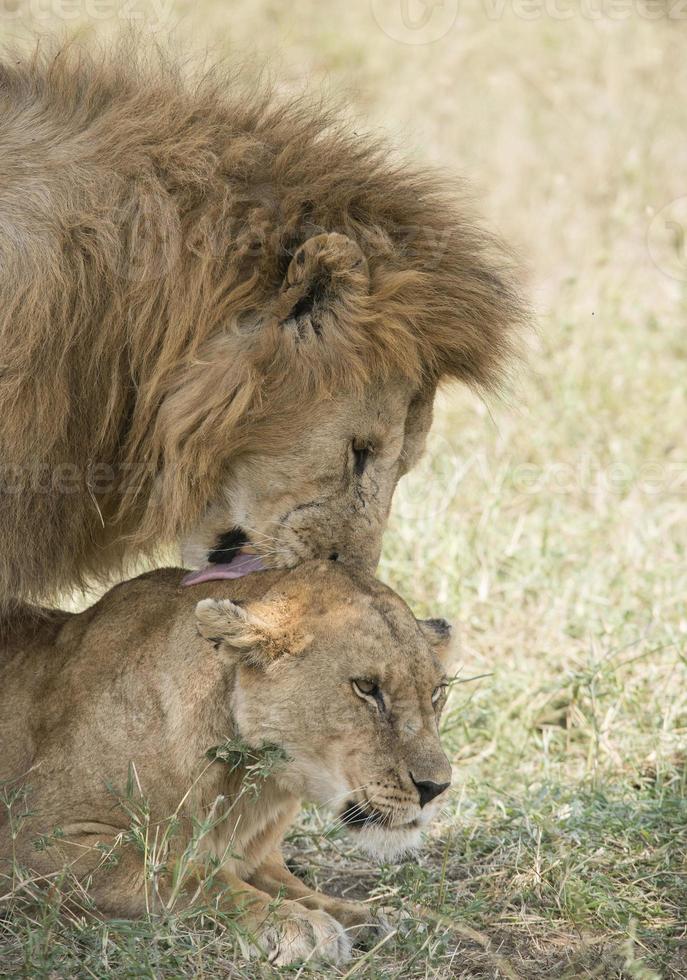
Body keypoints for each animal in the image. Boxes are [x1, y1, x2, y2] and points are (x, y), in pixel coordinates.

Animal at [2, 564, 454, 968]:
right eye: (366, 688)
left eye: (437, 692)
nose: (437, 788)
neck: (250, 786)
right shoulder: (33, 841)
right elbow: (185, 876)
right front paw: (292, 923)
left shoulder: (257, 855)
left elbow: (294, 885)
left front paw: (369, 916)